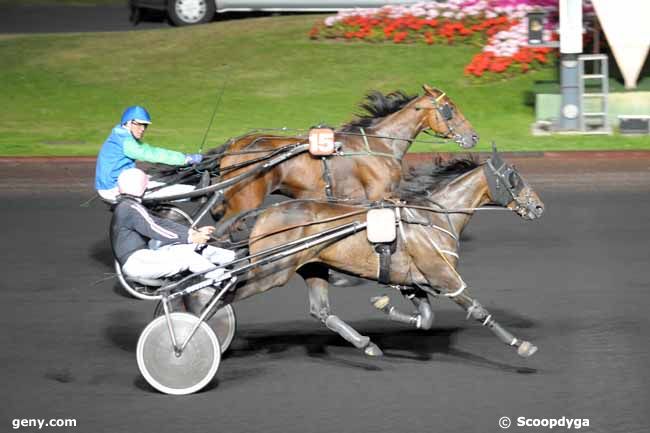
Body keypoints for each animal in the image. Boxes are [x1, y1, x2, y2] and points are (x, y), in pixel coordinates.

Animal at [211, 148, 540, 358]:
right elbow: (479, 310)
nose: (538, 206)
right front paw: (520, 344)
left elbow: (426, 319)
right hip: (271, 272)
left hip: (312, 267)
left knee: (321, 311)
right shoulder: (443, 277)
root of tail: (265, 212)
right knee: (226, 295)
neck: (432, 217)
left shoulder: (412, 282)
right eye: (513, 177)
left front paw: (384, 306)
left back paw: (365, 344)